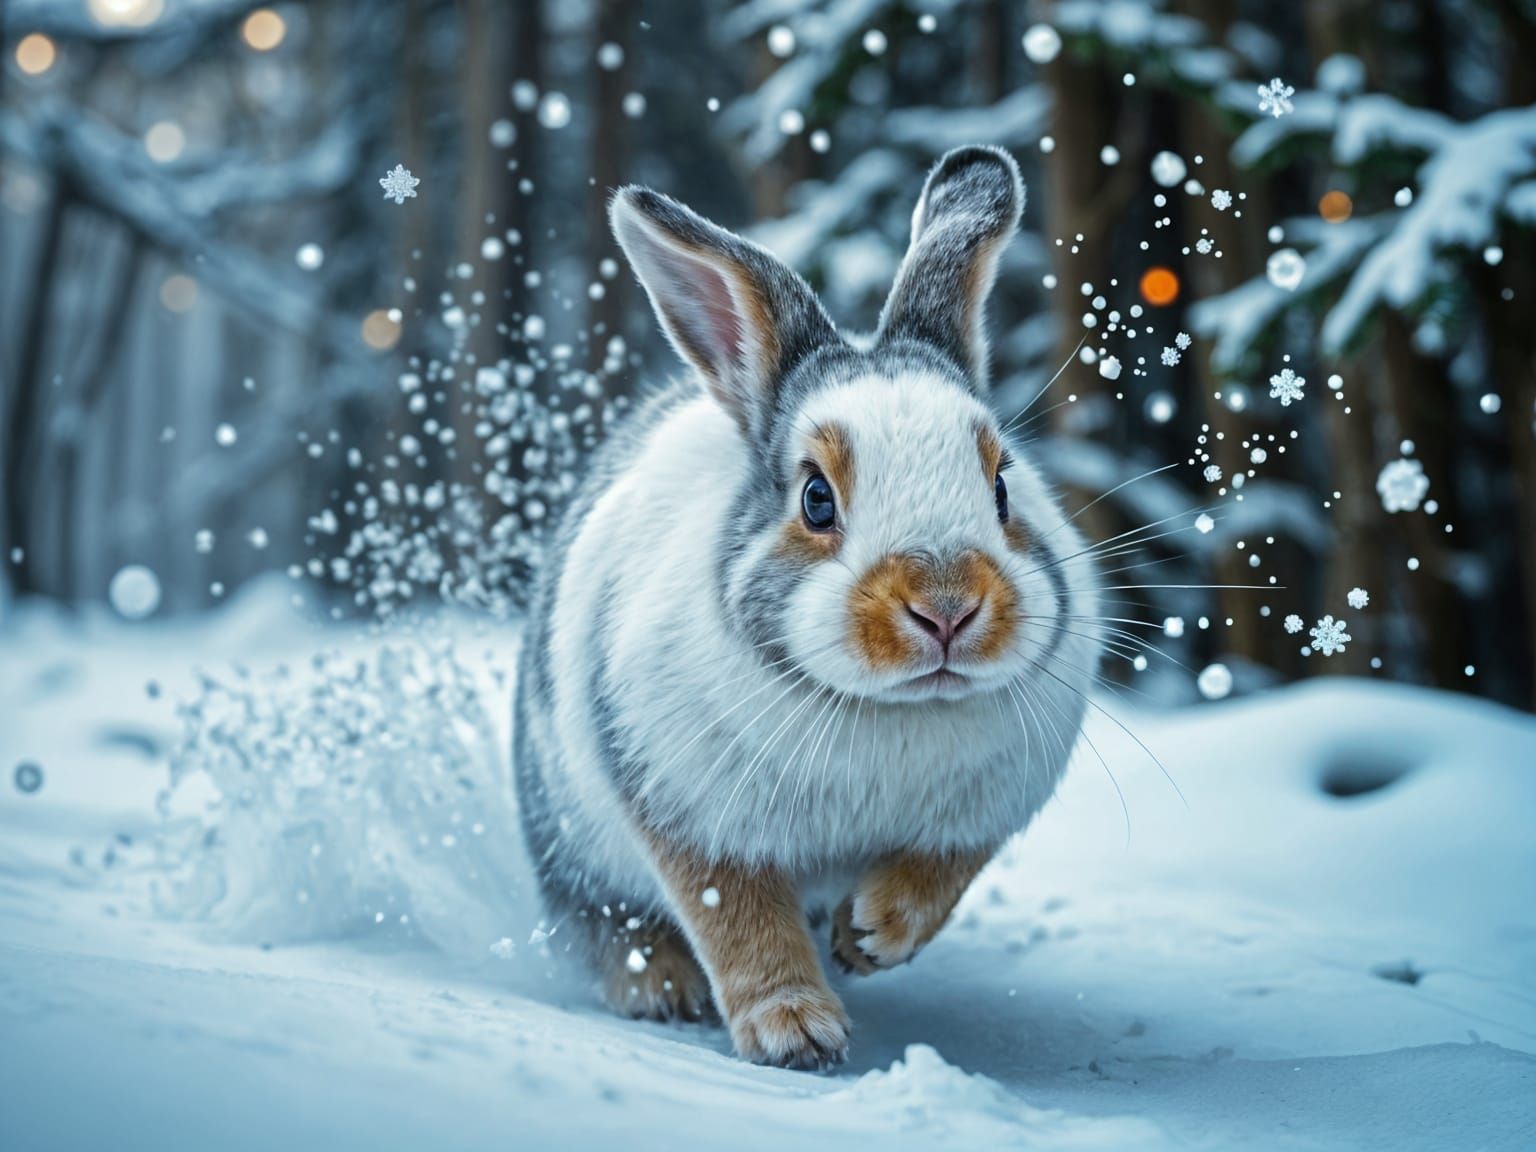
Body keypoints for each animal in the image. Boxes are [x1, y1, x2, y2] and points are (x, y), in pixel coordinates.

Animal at [513, 145, 1099, 1070]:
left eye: (1002, 486)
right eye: (816, 499)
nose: (946, 610)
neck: (890, 708)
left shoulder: (982, 816)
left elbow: (939, 876)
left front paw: (872, 934)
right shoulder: (694, 820)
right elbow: (740, 920)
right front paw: (795, 1031)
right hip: (570, 842)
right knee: (609, 919)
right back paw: (660, 989)